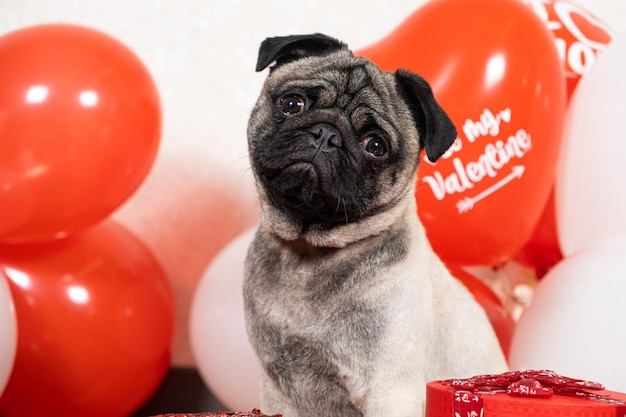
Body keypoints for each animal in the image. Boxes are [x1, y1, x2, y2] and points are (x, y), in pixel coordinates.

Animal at [243, 33, 508, 416]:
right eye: (292, 104)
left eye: (376, 146)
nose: (326, 133)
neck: (308, 251)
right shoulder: (277, 388)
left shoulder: (389, 392)